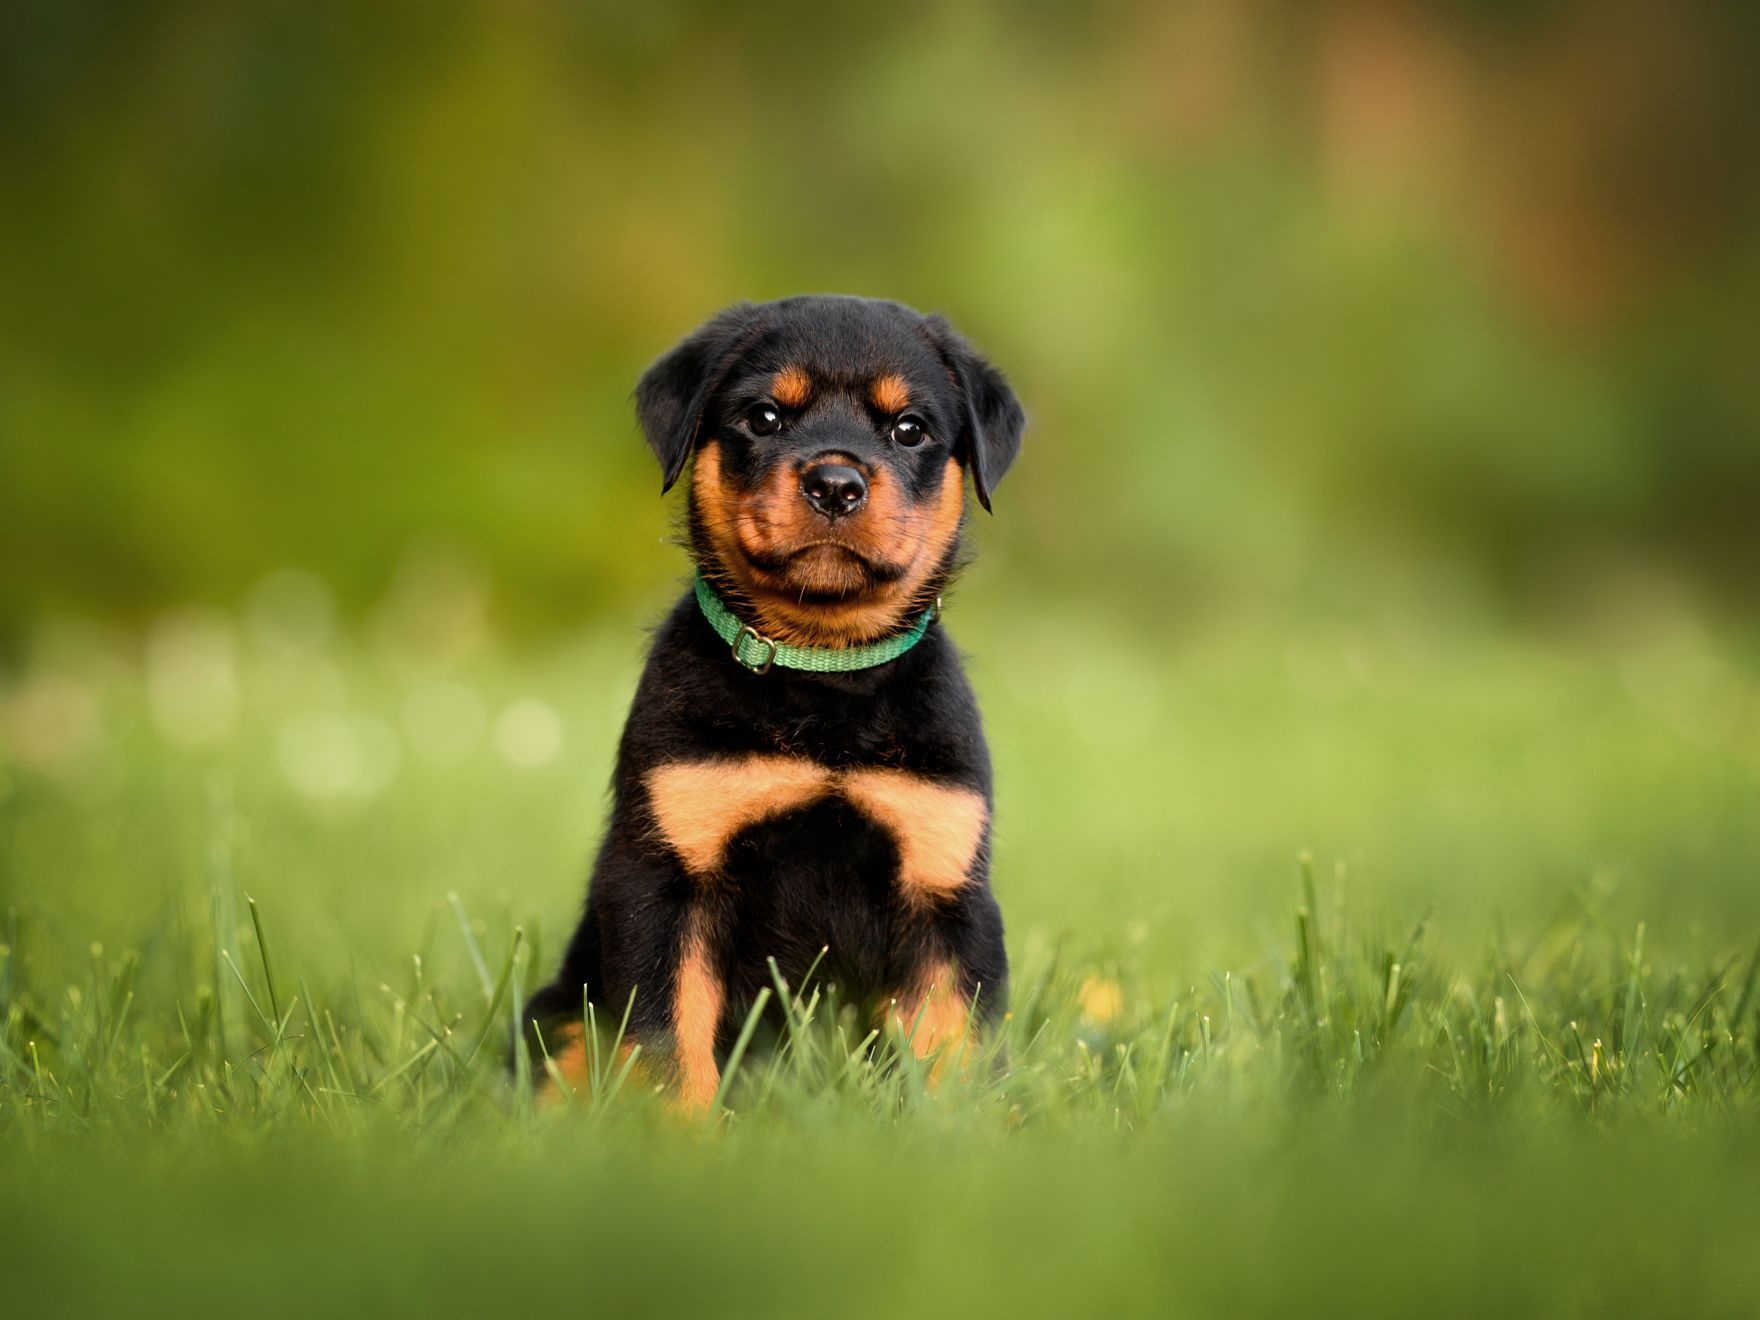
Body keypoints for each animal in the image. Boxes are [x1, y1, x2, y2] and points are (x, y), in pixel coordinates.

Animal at [524, 293, 1020, 1112]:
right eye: (764, 418)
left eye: (909, 429)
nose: (836, 483)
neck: (823, 679)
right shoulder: (665, 878)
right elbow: (668, 1040)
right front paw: (680, 1132)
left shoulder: (944, 887)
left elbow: (955, 1048)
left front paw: (958, 1127)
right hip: (558, 1008)